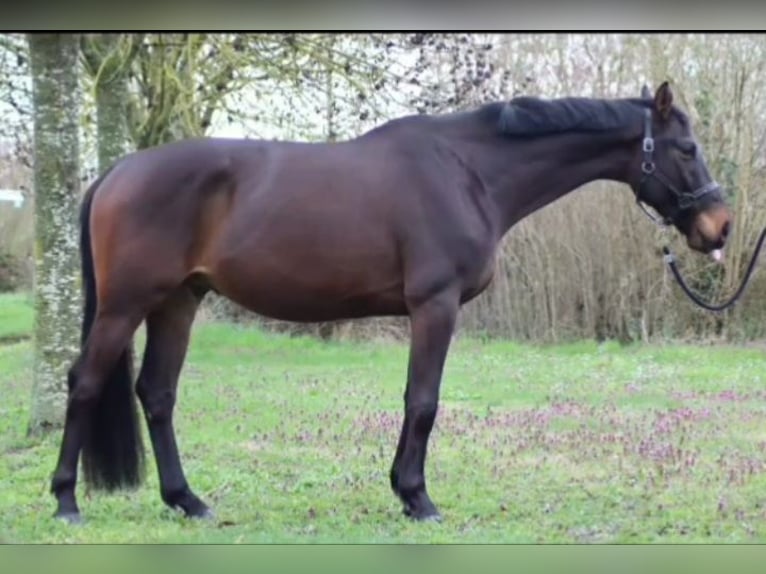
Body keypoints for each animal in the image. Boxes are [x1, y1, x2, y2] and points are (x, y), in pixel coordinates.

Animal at [50, 82, 731, 524]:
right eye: (688, 149)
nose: (719, 227)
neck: (468, 171)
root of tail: (114, 174)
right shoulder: (435, 306)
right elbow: (422, 401)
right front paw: (417, 498)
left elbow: (416, 401)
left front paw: (405, 492)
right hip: (126, 305)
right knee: (86, 383)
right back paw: (66, 501)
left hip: (178, 302)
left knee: (157, 393)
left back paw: (186, 501)